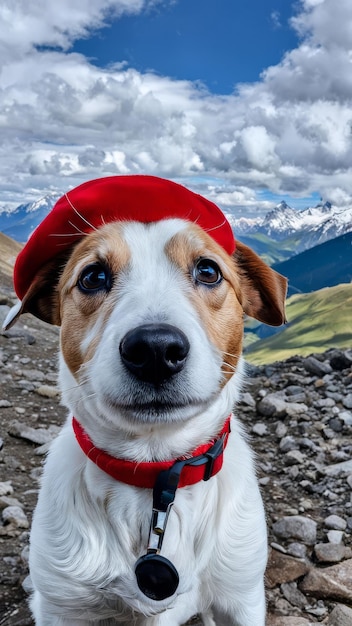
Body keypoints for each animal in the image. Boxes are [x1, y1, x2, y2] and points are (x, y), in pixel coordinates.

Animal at [4, 176, 288, 624]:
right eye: (92, 276)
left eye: (208, 270)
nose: (155, 349)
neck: (153, 476)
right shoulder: (66, 607)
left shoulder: (240, 598)